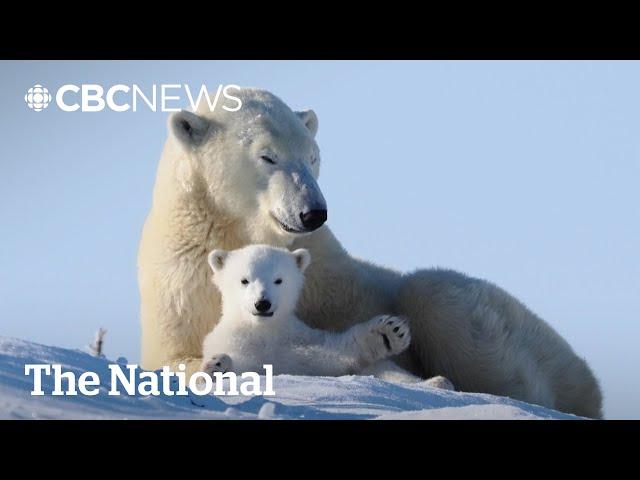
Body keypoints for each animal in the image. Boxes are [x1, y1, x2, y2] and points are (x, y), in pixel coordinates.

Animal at [138, 88, 604, 418]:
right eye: (267, 156)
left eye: (313, 156)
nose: (313, 212)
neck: (236, 228)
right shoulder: (181, 280)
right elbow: (175, 355)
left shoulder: (331, 280)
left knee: (436, 294)